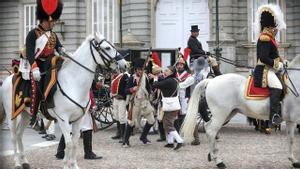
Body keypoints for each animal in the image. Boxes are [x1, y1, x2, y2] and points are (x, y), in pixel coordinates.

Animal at [0, 32, 127, 169]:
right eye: (107, 48)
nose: (125, 64)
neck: (73, 82)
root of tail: (7, 79)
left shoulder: (78, 119)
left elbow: (75, 142)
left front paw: (73, 165)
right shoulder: (63, 119)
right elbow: (69, 143)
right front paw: (66, 165)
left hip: (26, 114)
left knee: (19, 134)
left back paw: (24, 161)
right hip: (12, 115)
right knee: (13, 136)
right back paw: (17, 163)